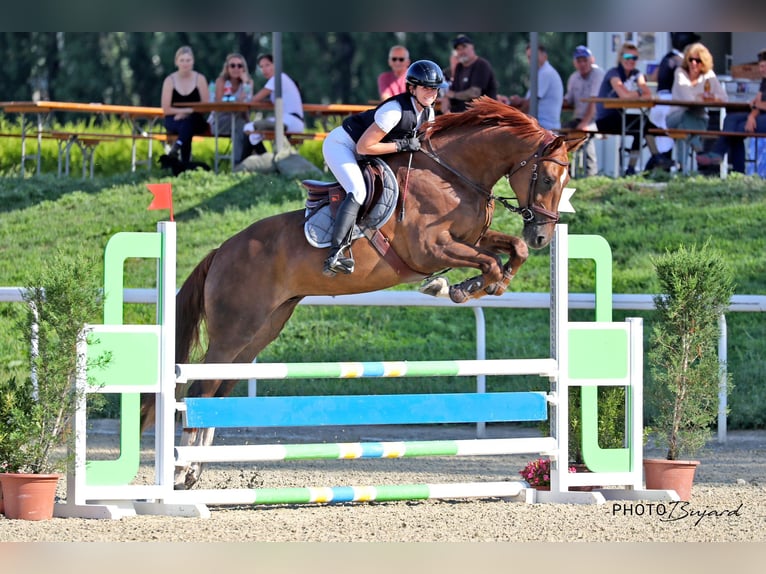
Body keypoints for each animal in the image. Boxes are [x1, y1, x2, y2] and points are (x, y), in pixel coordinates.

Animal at [141, 96, 585, 489]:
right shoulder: (430, 247)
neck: (454, 176)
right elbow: (487, 262)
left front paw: (483, 283)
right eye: (547, 178)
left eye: (566, 182)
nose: (544, 235)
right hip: (235, 329)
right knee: (198, 390)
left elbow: (512, 250)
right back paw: (181, 474)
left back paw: (195, 473)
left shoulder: (472, 238)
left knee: (217, 391)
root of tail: (221, 251)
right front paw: (459, 287)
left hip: (261, 330)